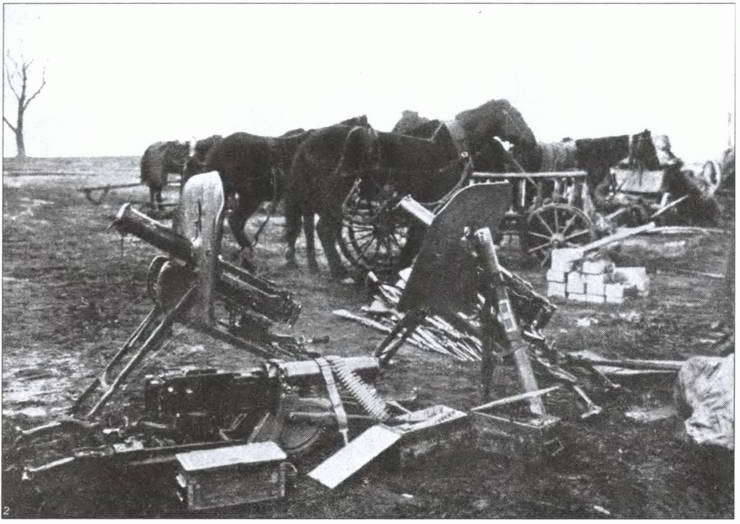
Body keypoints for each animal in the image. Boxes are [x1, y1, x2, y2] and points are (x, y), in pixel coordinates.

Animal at [194, 117, 368, 252]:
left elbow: (303, 229)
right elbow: (299, 228)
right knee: (231, 220)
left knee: (227, 220)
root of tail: (216, 149)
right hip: (250, 196)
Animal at [284, 123, 462, 278]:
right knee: (323, 229)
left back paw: (310, 264)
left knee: (309, 226)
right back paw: (339, 272)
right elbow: (415, 241)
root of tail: (307, 141)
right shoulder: (429, 209)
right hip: (334, 198)